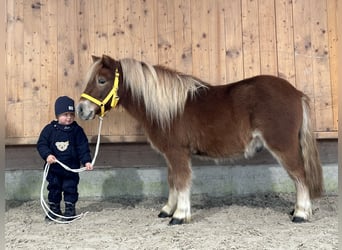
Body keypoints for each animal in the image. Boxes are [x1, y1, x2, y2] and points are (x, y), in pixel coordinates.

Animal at [77, 54, 324, 225]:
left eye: (101, 80)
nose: (81, 109)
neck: (168, 108)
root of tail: (296, 93)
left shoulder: (178, 152)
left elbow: (182, 181)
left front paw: (179, 215)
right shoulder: (170, 155)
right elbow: (172, 181)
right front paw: (167, 209)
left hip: (283, 146)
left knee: (300, 176)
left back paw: (301, 213)